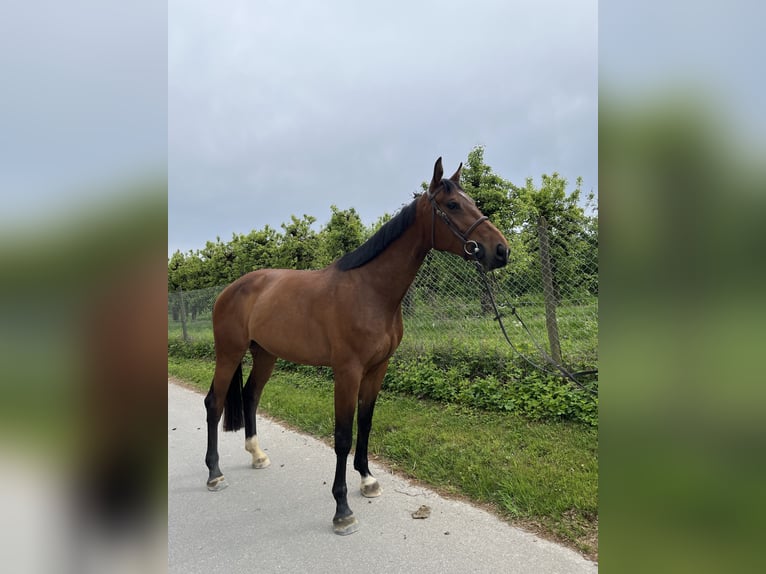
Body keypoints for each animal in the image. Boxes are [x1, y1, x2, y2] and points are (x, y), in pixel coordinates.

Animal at [204, 157, 509, 535]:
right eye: (453, 205)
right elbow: (342, 435)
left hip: (265, 354)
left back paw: (257, 455)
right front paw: (342, 509)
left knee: (250, 395)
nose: (501, 250)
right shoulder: (347, 372)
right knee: (214, 403)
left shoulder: (378, 368)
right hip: (229, 353)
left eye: (473, 202)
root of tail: (228, 290)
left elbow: (365, 423)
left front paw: (367, 479)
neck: (370, 290)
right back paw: (214, 474)